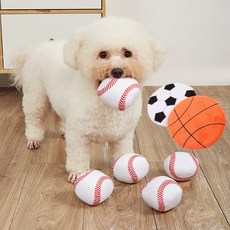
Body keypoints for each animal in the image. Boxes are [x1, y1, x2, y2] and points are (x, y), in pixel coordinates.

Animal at [12, 17, 164, 182]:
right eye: (102, 54)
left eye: (128, 53)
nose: (117, 71)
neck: (106, 103)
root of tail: (35, 48)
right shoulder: (79, 135)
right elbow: (78, 156)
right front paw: (78, 173)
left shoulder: (123, 136)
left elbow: (121, 152)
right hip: (36, 95)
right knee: (34, 118)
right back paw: (33, 139)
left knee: (59, 115)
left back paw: (63, 130)